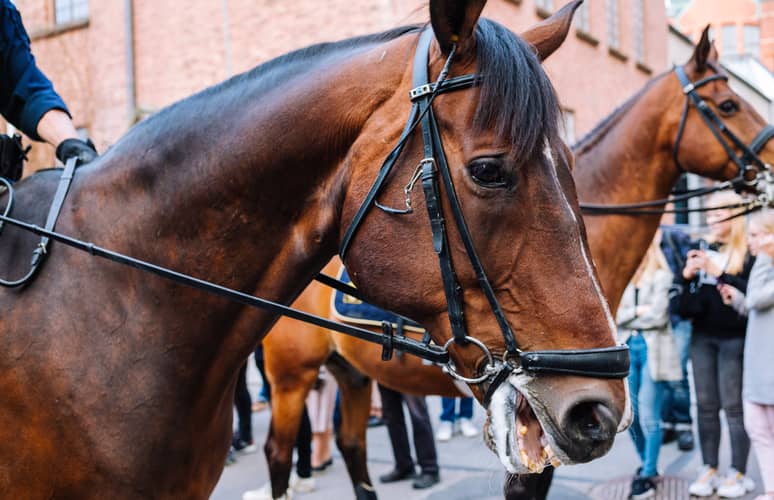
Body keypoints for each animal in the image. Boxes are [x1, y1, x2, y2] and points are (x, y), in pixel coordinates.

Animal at [258, 25, 772, 500]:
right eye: (729, 105)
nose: (771, 162)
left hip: (350, 374)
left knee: (351, 445)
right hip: (291, 377)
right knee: (278, 452)